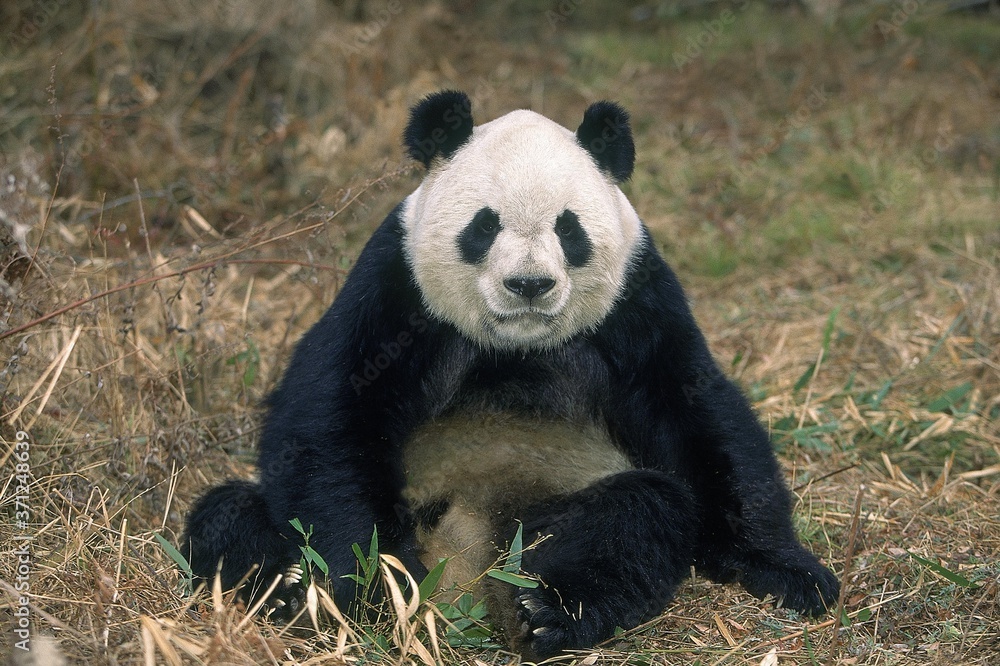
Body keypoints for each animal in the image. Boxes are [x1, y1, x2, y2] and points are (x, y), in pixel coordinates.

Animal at [183, 90, 839, 660]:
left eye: (568, 229)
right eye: (484, 225)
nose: (529, 284)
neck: (516, 344)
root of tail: (463, 578)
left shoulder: (637, 301)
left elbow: (699, 414)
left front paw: (789, 571)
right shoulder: (394, 287)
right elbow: (329, 414)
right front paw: (364, 585)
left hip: (549, 507)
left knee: (639, 515)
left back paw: (547, 611)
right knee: (229, 515)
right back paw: (291, 588)